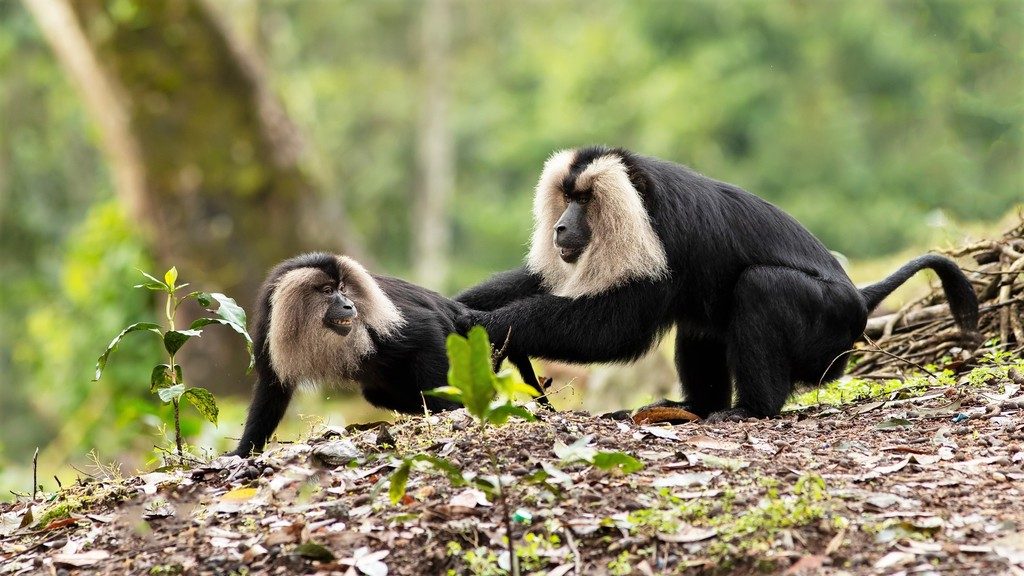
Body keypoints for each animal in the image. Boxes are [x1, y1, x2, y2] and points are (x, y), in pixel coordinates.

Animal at [230, 252, 466, 456]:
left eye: (342, 289)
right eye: (327, 290)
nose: (348, 304)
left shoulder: (375, 326)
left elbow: (426, 329)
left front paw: (451, 409)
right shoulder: (269, 329)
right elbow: (272, 387)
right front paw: (244, 450)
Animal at [457, 146, 979, 421]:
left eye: (584, 201)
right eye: (566, 197)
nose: (561, 227)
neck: (640, 204)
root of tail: (857, 297)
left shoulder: (665, 238)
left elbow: (619, 329)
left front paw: (495, 326)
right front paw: (462, 306)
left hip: (827, 329)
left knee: (761, 287)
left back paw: (752, 410)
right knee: (701, 325)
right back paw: (696, 406)